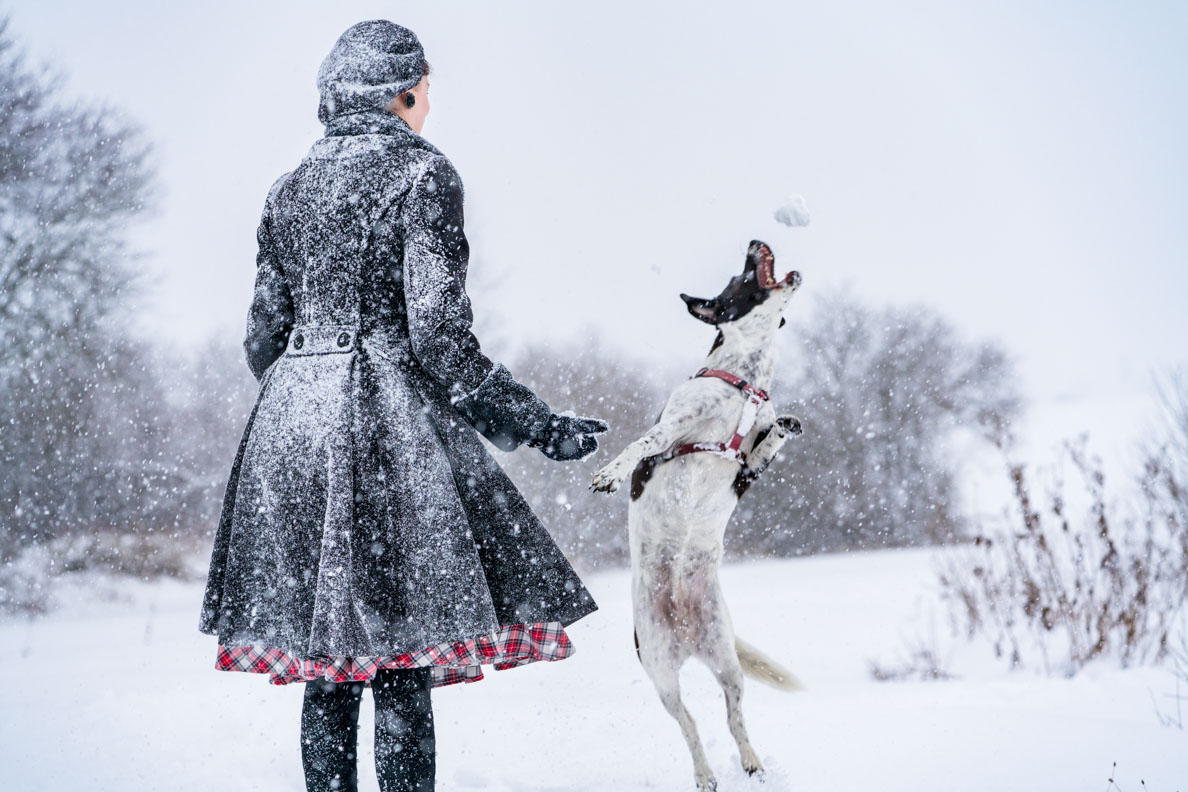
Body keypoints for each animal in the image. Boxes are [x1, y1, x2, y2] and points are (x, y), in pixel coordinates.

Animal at [594, 242, 807, 792]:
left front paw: (785, 424)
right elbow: (639, 445)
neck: (745, 383)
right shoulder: (672, 431)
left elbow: (770, 439)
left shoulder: (746, 471)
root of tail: (687, 637)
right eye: (739, 277)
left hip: (726, 661)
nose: (755, 242)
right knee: (689, 725)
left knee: (733, 717)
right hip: (662, 676)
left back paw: (752, 763)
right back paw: (705, 774)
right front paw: (610, 473)